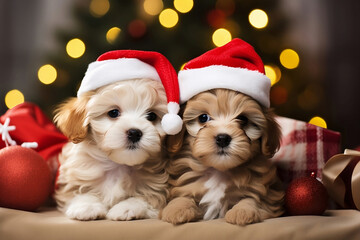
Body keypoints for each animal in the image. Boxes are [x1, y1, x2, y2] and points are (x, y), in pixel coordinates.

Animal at [161, 88, 284, 225]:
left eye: (243, 119)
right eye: (203, 118)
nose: (223, 138)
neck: (219, 170)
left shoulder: (267, 194)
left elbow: (253, 200)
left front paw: (242, 212)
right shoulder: (185, 185)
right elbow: (182, 196)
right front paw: (178, 210)